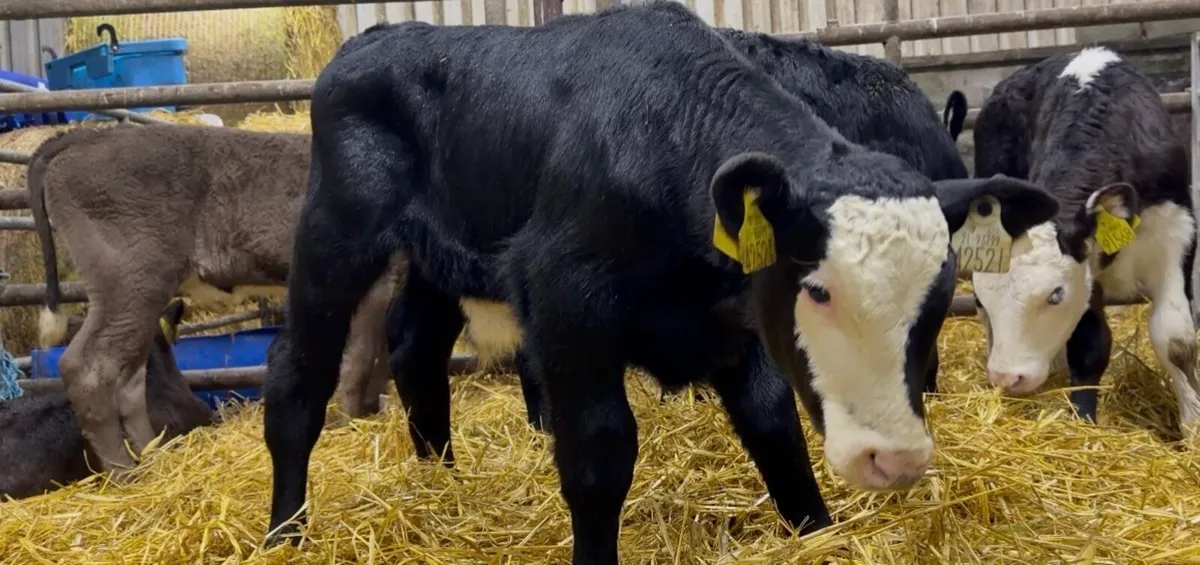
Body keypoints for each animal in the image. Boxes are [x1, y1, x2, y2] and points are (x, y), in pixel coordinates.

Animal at [27, 123, 402, 479]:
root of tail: (85, 137)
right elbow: (359, 361)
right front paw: (351, 424)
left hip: (141, 296)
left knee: (129, 379)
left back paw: (156, 459)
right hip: (128, 281)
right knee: (86, 367)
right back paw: (124, 473)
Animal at [260, 4, 1058, 563]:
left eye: (938, 298)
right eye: (818, 290)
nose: (893, 457)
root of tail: (373, 39)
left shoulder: (736, 320)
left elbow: (773, 424)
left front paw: (814, 530)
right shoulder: (567, 302)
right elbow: (598, 454)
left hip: (438, 261)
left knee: (415, 350)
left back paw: (441, 482)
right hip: (335, 235)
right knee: (297, 376)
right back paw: (285, 532)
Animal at [969, 45, 1200, 437]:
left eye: (1055, 295)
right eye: (981, 296)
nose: (1006, 377)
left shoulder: (1176, 233)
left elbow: (1175, 340)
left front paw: (1193, 425)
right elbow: (1089, 346)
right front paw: (1085, 419)